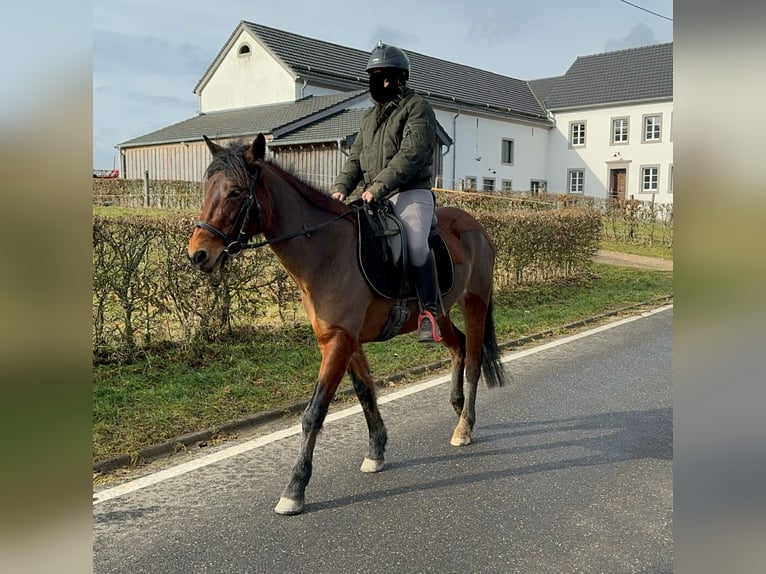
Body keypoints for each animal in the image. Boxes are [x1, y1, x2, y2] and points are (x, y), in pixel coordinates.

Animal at [187, 135, 510, 516]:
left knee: (473, 359)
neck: (326, 250)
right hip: (440, 315)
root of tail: (475, 224)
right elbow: (365, 394)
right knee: (458, 347)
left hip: (475, 302)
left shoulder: (338, 342)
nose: (197, 255)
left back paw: (465, 426)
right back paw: (457, 408)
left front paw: (295, 488)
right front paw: (376, 452)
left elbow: (314, 413)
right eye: (207, 188)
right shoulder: (345, 341)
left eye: (236, 193)